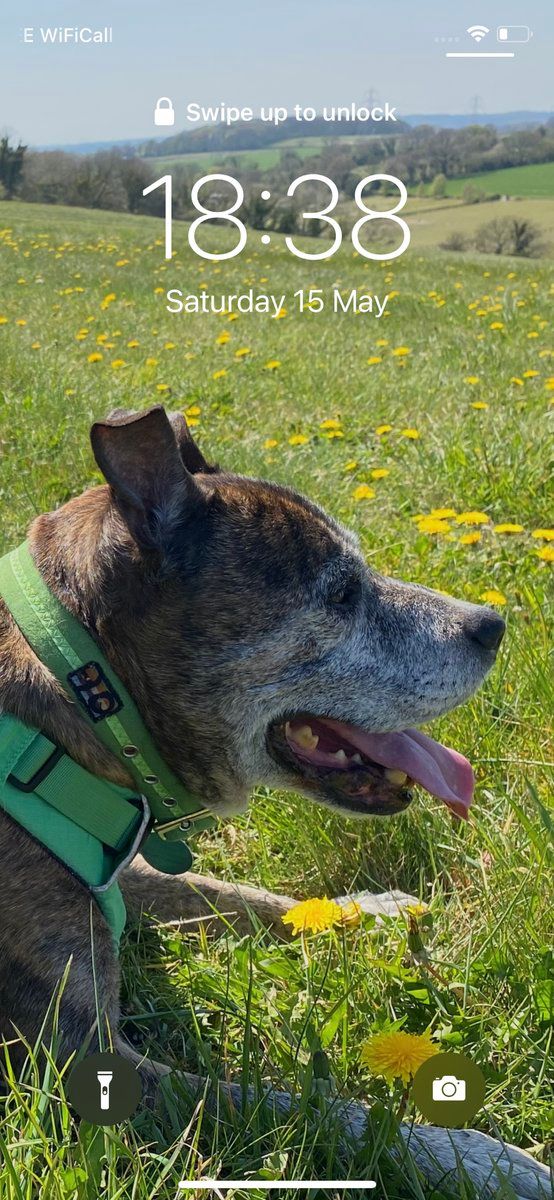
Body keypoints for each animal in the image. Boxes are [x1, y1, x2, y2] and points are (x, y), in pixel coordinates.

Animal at [0, 405, 504, 1096]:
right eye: (341, 594)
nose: (493, 624)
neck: (81, 693)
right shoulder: (82, 1056)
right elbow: (305, 1108)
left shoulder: (126, 869)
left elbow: (237, 895)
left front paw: (366, 909)